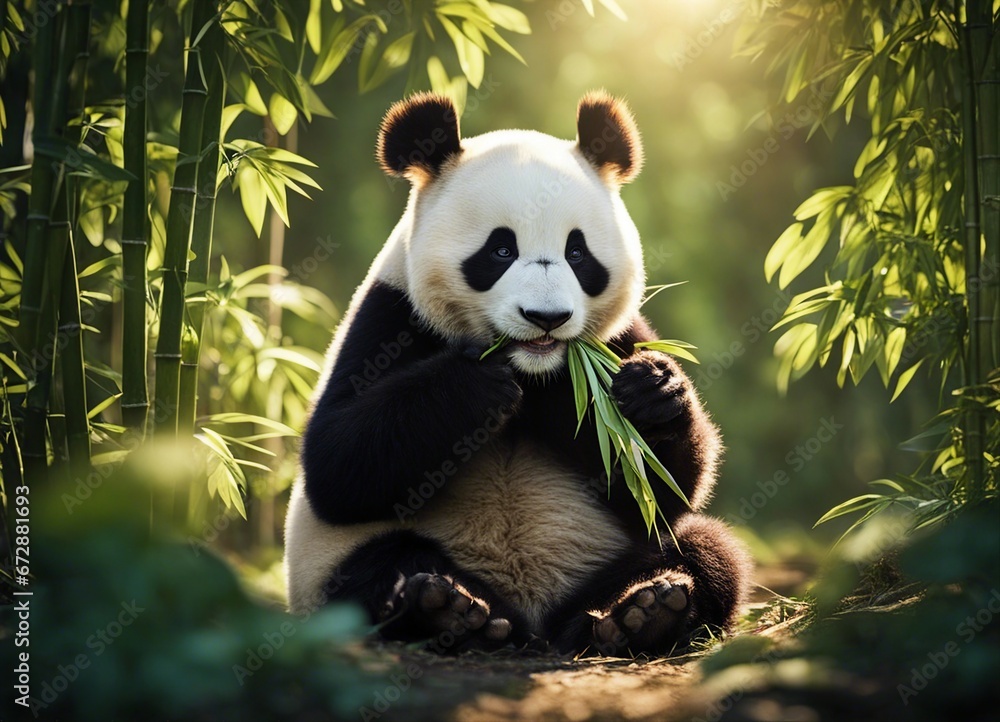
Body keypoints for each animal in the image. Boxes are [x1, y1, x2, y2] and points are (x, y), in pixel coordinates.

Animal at [284, 91, 751, 655]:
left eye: (578, 252)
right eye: (501, 249)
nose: (546, 317)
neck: (536, 368)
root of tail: (533, 619)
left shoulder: (617, 339)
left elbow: (663, 487)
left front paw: (650, 392)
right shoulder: (390, 317)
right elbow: (336, 461)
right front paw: (476, 388)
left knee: (705, 549)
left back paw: (642, 612)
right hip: (328, 567)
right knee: (372, 572)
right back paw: (450, 611)